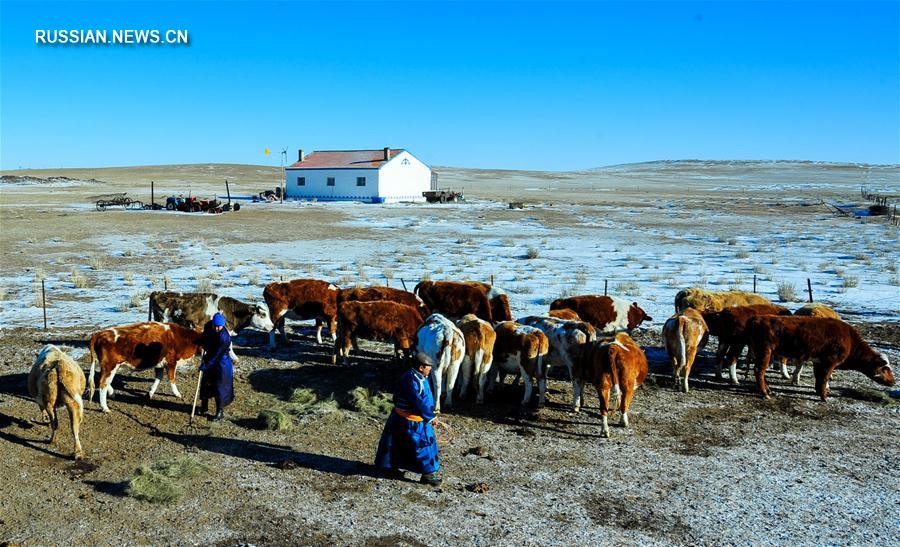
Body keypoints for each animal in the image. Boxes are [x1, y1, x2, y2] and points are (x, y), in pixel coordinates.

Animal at [744, 314, 892, 400]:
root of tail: (757, 318)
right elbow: (825, 377)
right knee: (759, 370)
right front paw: (824, 396)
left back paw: (767, 390)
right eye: (885, 369)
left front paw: (818, 391)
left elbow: (819, 377)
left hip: (764, 353)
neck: (849, 339)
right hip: (765, 352)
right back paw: (764, 393)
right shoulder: (830, 362)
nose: (894, 382)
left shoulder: (819, 361)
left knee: (761, 371)